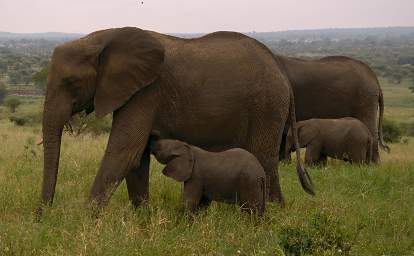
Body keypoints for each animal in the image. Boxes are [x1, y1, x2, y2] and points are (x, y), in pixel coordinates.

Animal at [38, 26, 312, 216]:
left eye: (71, 83)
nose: (43, 217)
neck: (103, 37)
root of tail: (281, 71)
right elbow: (137, 159)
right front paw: (143, 219)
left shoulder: (147, 92)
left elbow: (124, 153)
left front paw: (83, 221)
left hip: (266, 106)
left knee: (264, 158)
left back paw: (274, 215)